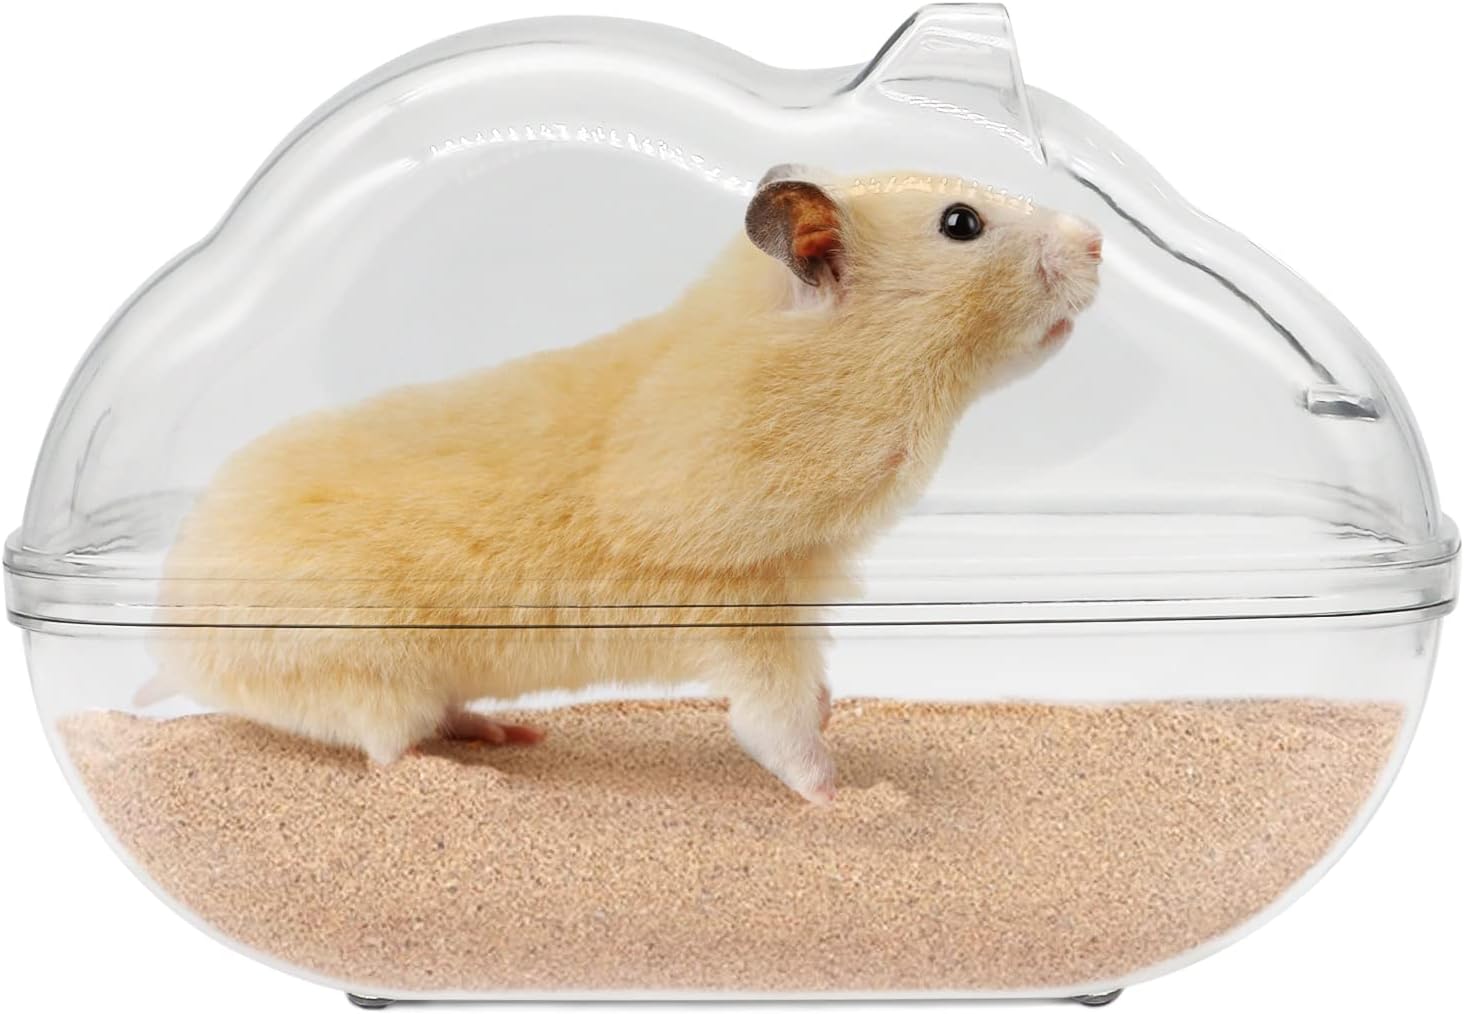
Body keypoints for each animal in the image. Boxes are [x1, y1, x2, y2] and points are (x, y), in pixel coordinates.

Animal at [151, 165, 1102, 803]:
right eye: (961, 223)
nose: (1096, 239)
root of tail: (177, 644)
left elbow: (812, 693)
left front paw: (839, 712)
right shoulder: (749, 599)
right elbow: (777, 729)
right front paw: (854, 796)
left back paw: (507, 730)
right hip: (360, 670)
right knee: (386, 747)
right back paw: (468, 773)